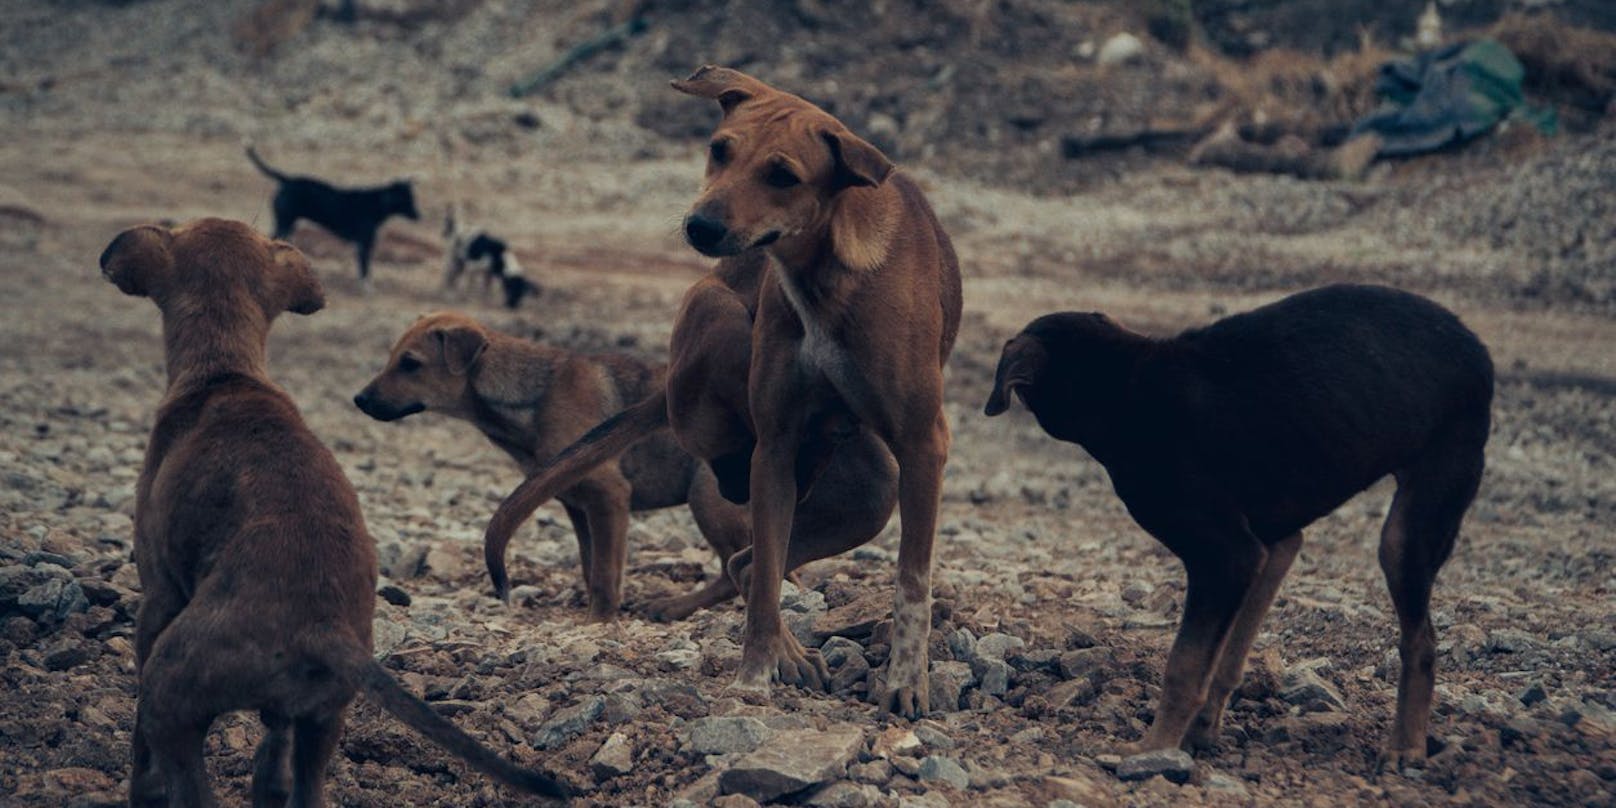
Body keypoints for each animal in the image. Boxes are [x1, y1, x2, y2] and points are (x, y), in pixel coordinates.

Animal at [101, 218, 568, 804]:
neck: (225, 373)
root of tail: (319, 629)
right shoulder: (287, 719)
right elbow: (271, 768)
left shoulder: (158, 597)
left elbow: (140, 745)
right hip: (323, 723)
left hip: (172, 691)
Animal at [245, 145, 420, 290]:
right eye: (407, 199)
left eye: (412, 197)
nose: (419, 216)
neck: (375, 204)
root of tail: (288, 180)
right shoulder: (364, 242)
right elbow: (365, 268)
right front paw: (367, 288)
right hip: (284, 222)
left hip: (289, 224)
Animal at [353, 311, 749, 620]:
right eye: (392, 357)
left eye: (410, 363)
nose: (359, 400)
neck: (532, 395)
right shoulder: (577, 505)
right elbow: (591, 567)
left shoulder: (608, 495)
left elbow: (604, 574)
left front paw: (598, 622)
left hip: (707, 498)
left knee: (734, 570)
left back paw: (672, 607)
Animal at [478, 66, 956, 717]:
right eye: (719, 149)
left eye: (783, 175)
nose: (700, 226)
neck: (821, 274)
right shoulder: (775, 449)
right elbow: (765, 584)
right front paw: (754, 677)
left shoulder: (923, 446)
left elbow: (911, 582)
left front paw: (907, 681)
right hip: (714, 321)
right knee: (749, 553)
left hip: (869, 493)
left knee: (748, 557)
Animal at [976, 286, 1493, 769]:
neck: (1126, 382)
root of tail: (1475, 346)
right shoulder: (1270, 546)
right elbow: (1226, 656)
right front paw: (1197, 733)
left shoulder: (1226, 556)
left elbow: (1185, 664)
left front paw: (1151, 749)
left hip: (1412, 521)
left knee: (1420, 640)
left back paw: (1406, 747)